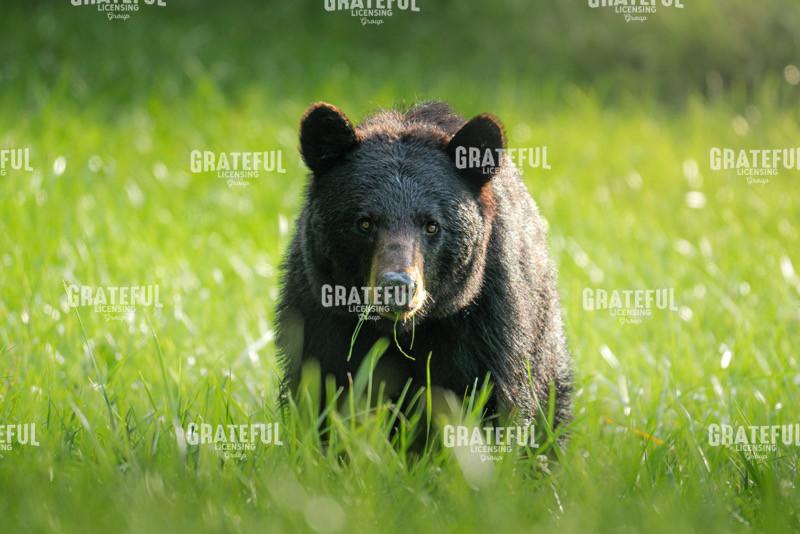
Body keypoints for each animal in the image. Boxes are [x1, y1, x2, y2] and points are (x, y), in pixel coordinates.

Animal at [276, 101, 572, 433]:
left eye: (432, 225)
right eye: (364, 223)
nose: (397, 286)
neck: (402, 330)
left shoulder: (487, 321)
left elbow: (489, 399)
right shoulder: (318, 311)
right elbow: (323, 384)